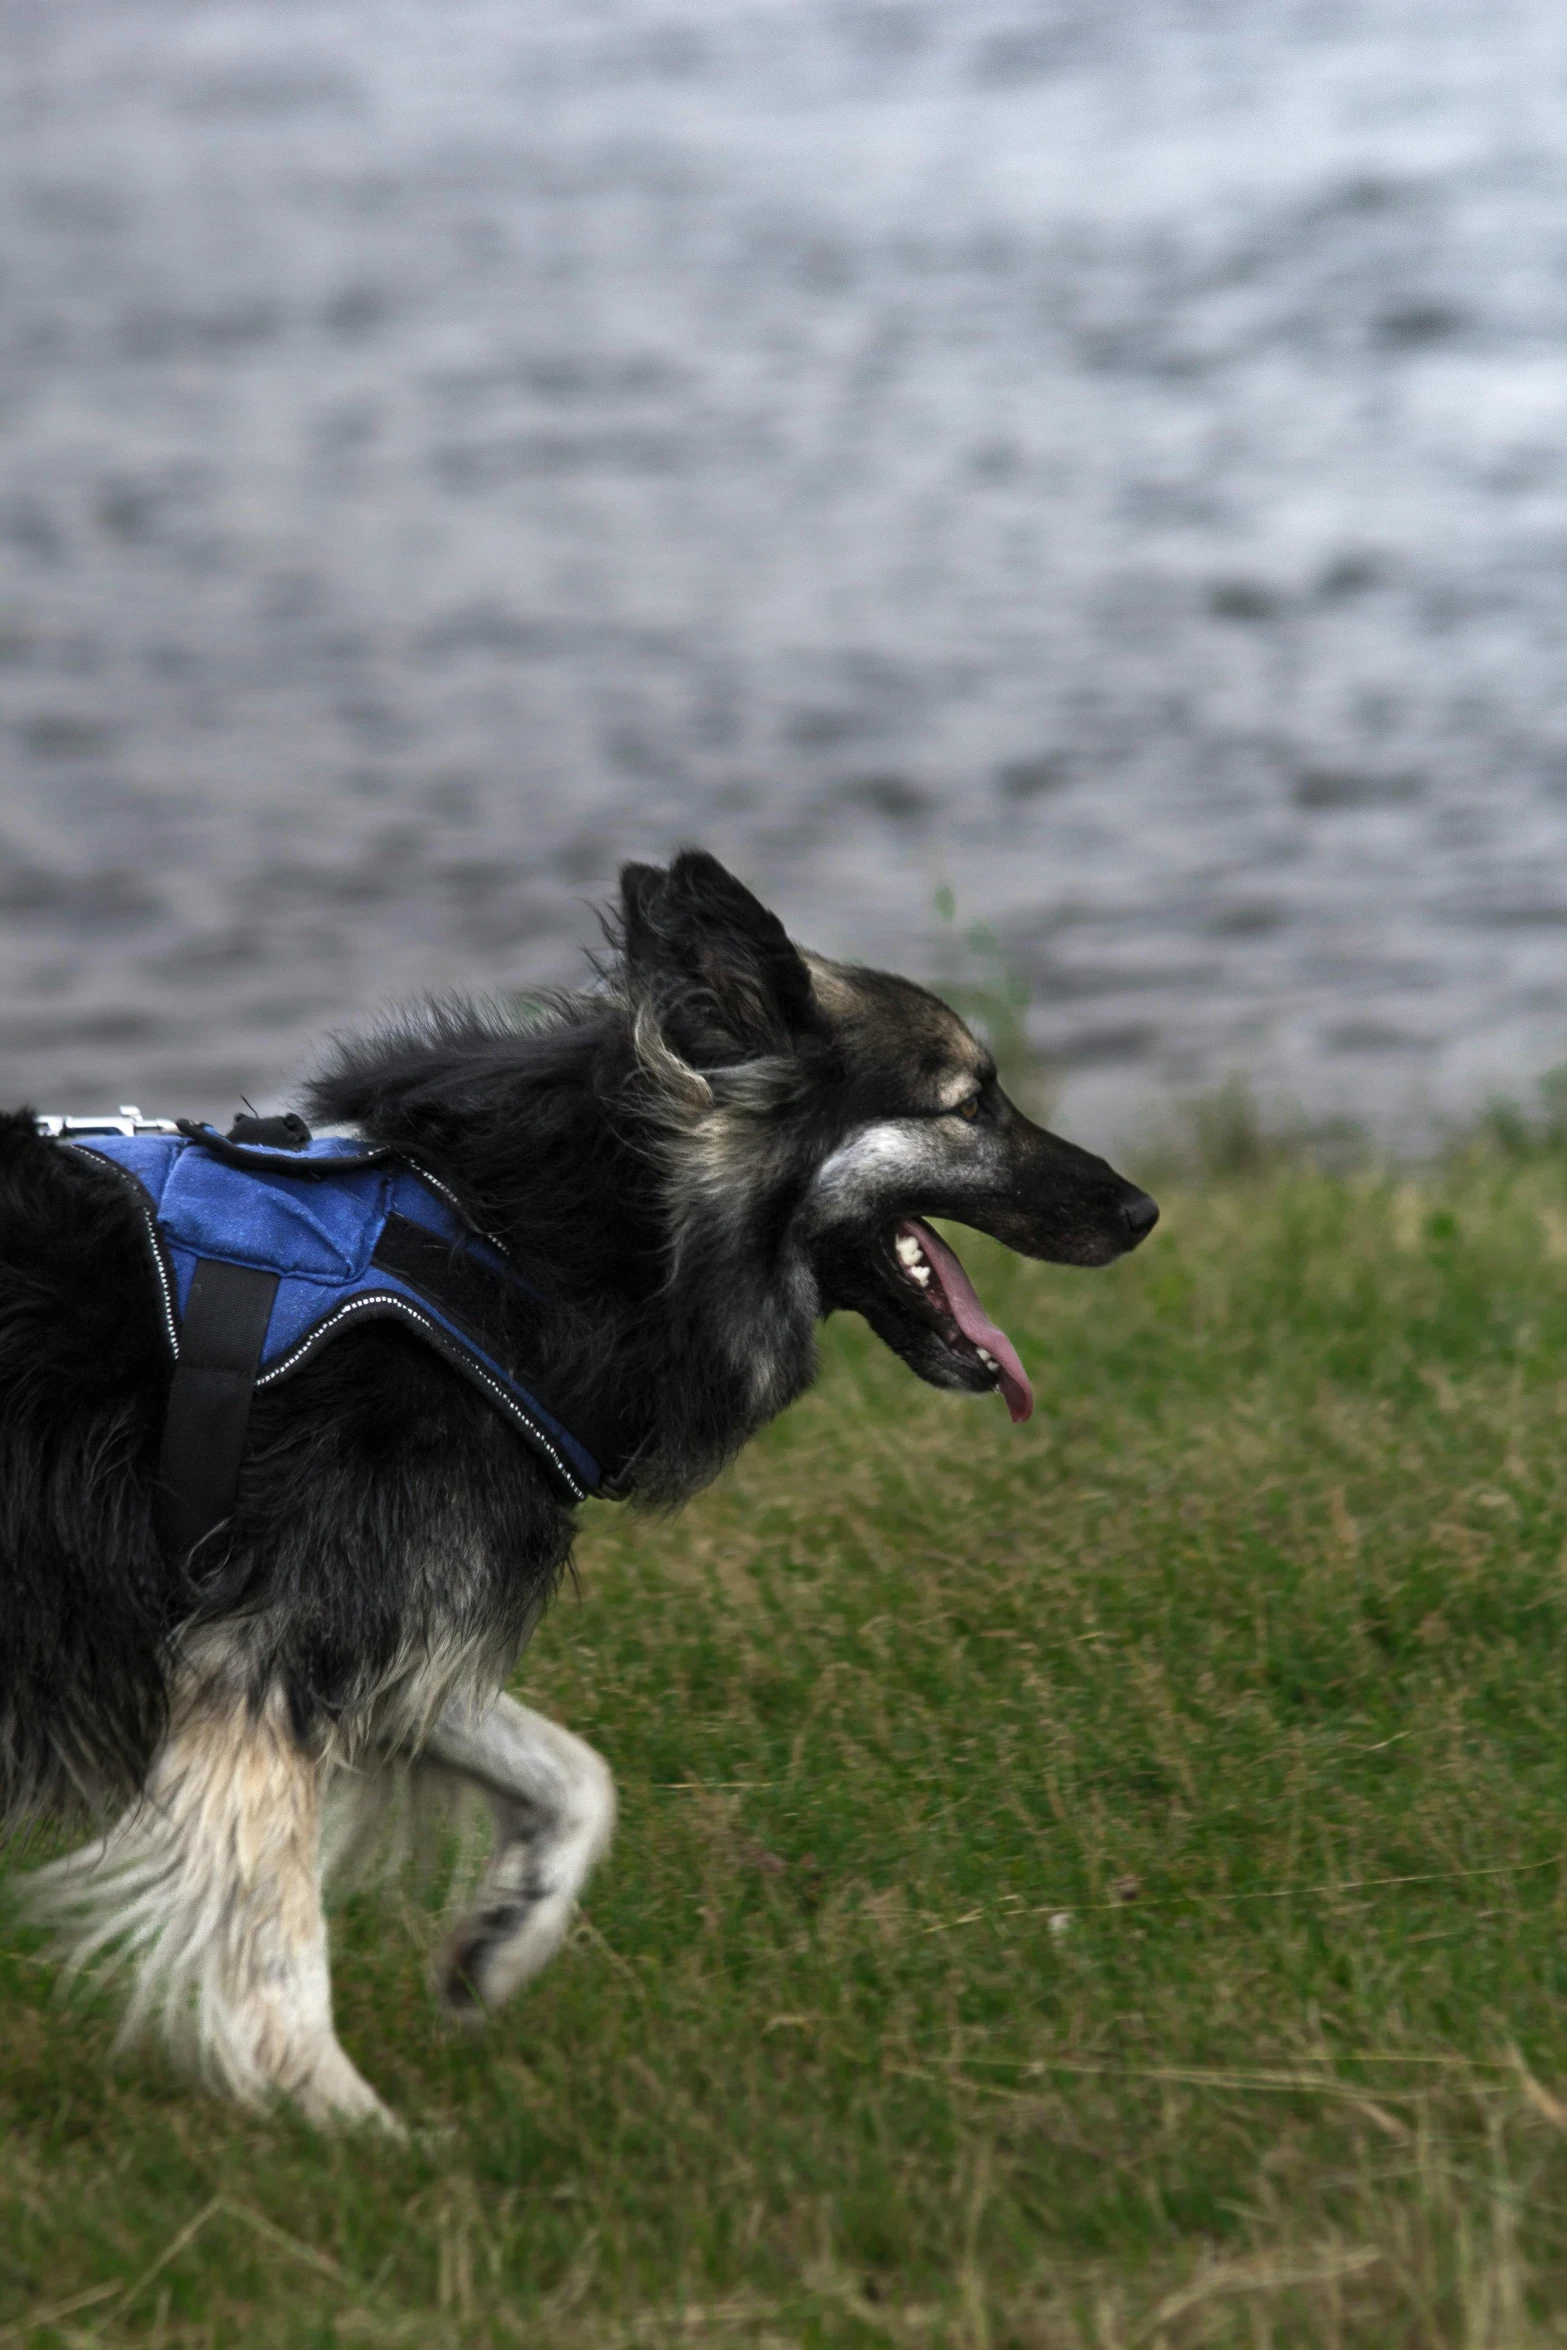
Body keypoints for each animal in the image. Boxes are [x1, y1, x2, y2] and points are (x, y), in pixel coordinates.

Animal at [0, 850, 1151, 2133]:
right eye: (968, 1102)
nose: (1142, 1211)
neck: (513, 1249)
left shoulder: (388, 1614)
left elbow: (573, 1778)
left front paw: (503, 1937)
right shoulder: (264, 1653)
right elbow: (276, 1945)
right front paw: (354, 2131)